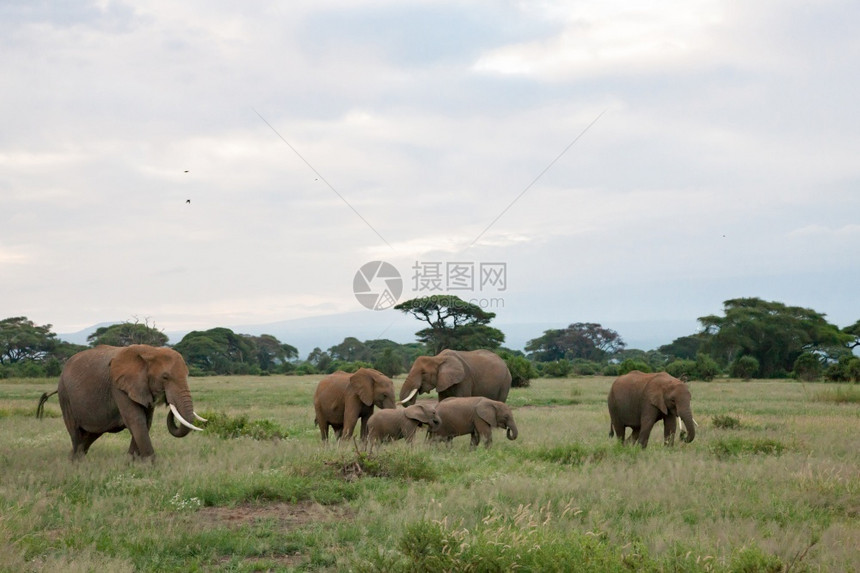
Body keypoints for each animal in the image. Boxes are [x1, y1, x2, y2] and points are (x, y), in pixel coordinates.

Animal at [37, 344, 207, 460]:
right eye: (165, 377)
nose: (168, 401)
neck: (150, 351)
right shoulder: (119, 387)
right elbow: (136, 420)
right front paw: (151, 466)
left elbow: (146, 423)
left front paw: (131, 463)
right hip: (65, 395)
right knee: (75, 432)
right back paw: (77, 464)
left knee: (91, 434)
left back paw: (73, 459)